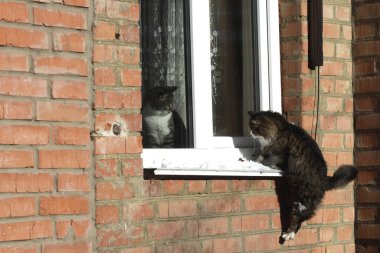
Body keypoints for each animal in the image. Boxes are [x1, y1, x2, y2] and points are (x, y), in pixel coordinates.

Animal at [248, 110, 358, 241]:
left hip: (301, 200)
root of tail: (325, 180)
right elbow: (262, 155)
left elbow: (270, 159)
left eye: (252, 128)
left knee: (299, 218)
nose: (250, 133)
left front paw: (263, 163)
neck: (280, 128)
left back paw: (288, 234)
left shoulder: (280, 150)